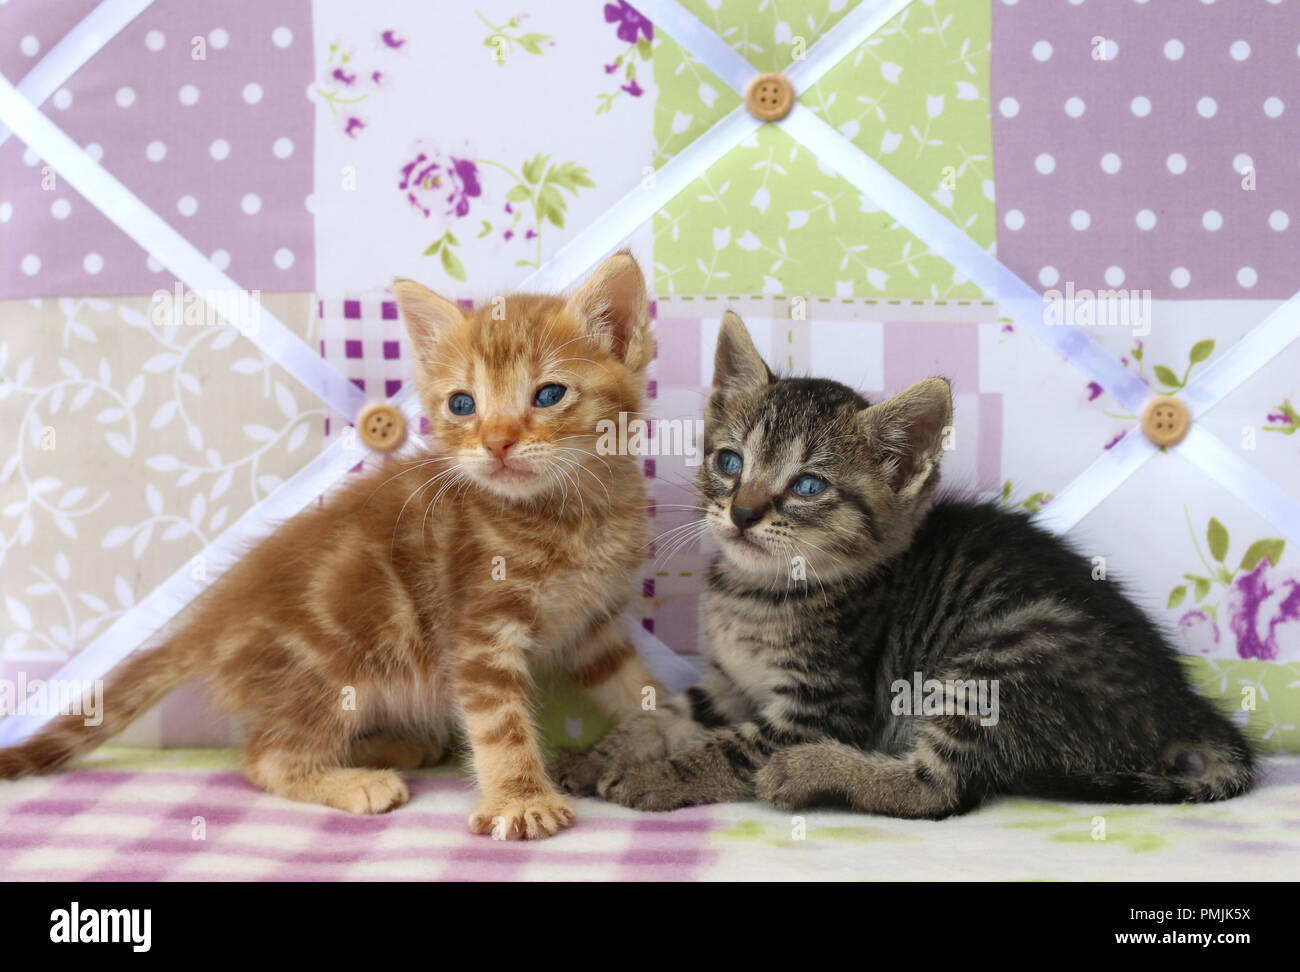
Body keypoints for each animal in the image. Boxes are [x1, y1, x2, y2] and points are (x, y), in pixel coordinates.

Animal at [2, 254, 660, 836]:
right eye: (462, 404)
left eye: (548, 395)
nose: (496, 443)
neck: (572, 514)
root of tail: (214, 621)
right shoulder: (480, 631)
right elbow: (499, 725)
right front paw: (520, 800)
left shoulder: (594, 623)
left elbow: (633, 686)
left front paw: (672, 729)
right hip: (332, 670)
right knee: (264, 755)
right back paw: (355, 781)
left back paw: (396, 745)